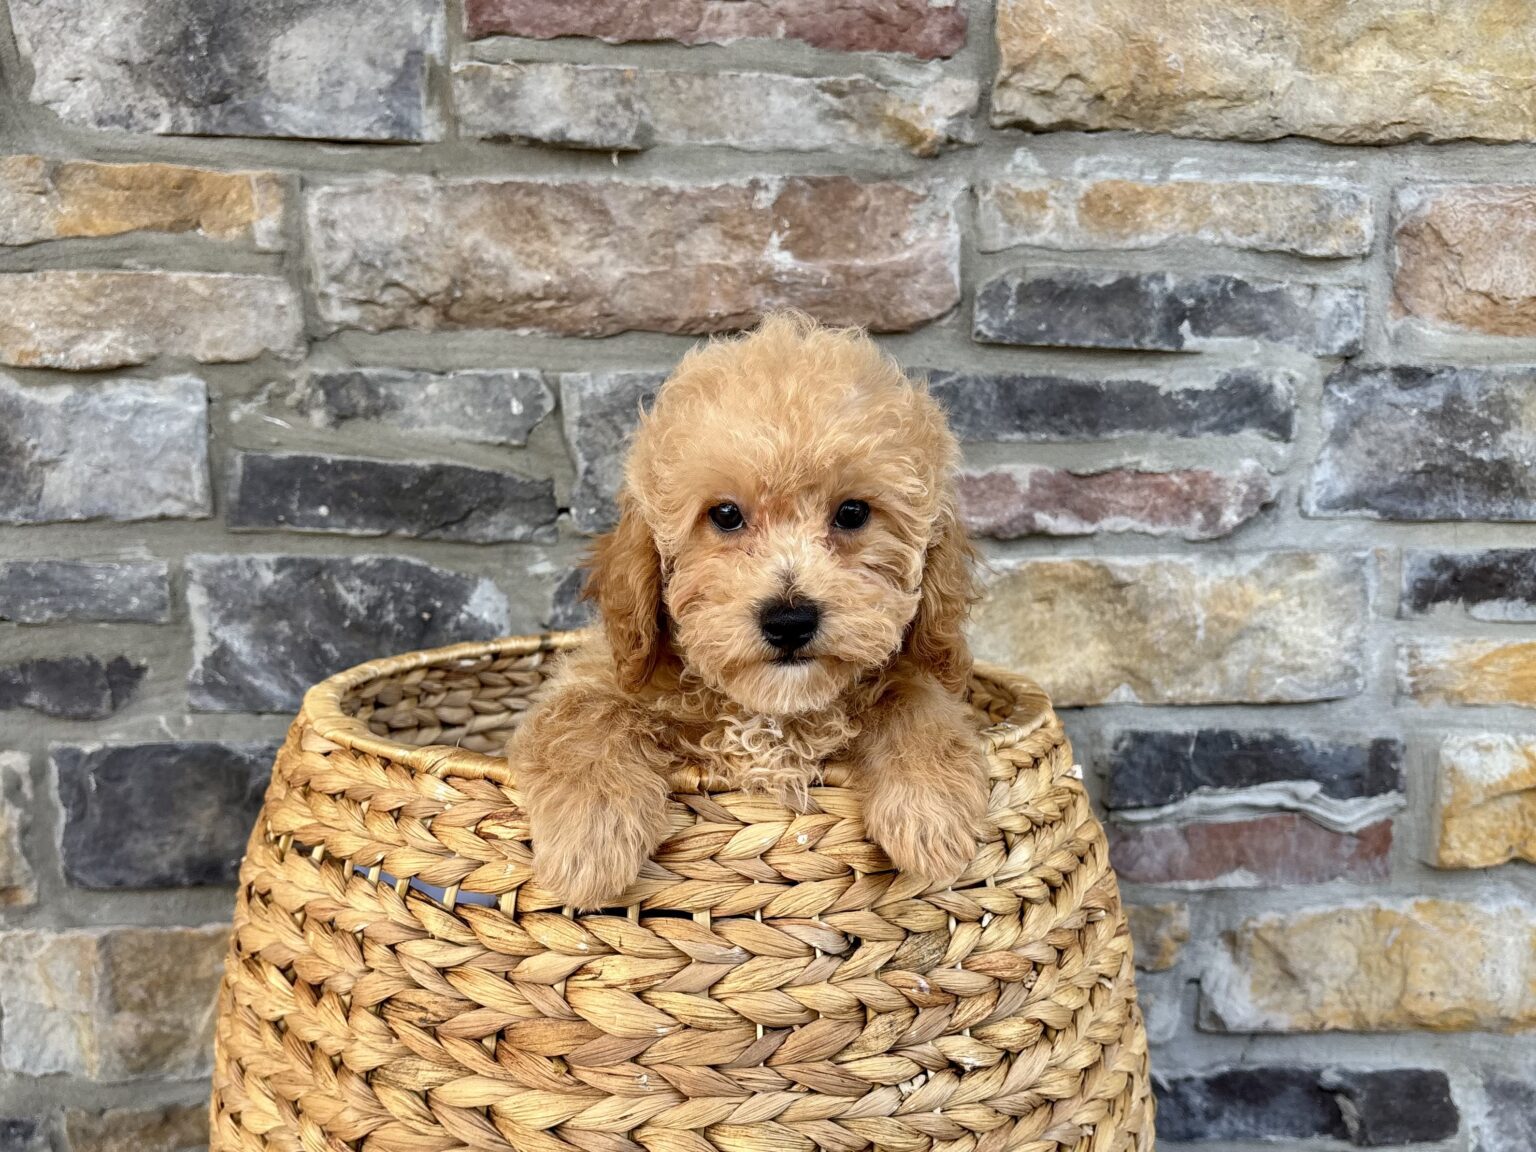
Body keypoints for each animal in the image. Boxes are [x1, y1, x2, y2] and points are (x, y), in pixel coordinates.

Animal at [510, 311, 990, 909]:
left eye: (853, 513)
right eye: (725, 515)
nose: (789, 620)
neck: (770, 714)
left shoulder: (913, 673)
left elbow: (915, 698)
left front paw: (932, 813)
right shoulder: (601, 673)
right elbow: (584, 717)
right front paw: (589, 840)